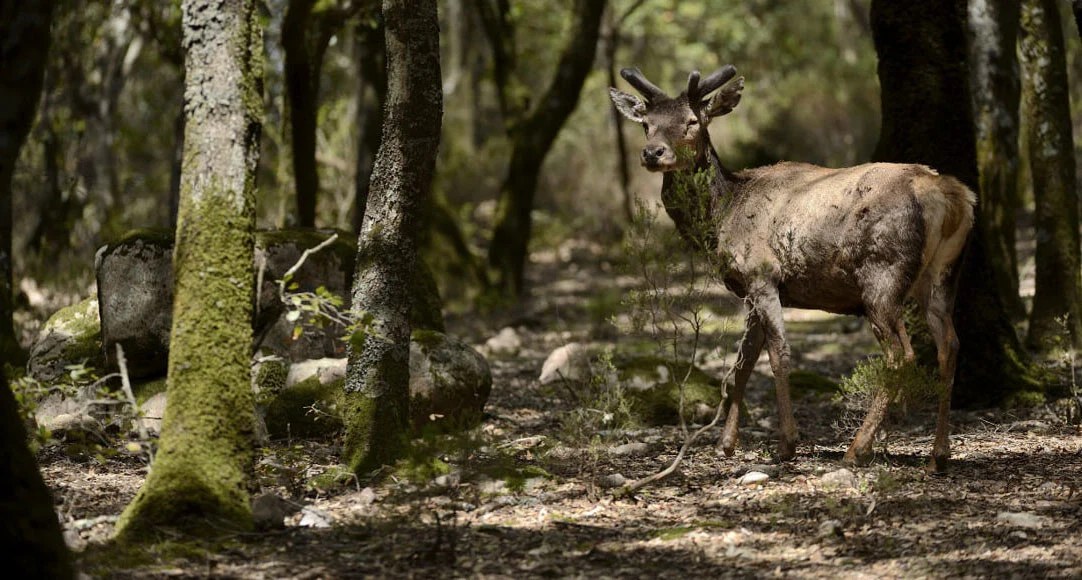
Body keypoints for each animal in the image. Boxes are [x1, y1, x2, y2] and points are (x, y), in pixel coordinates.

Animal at [614, 64, 978, 471]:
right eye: (646, 124)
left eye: (693, 121)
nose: (652, 153)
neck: (724, 212)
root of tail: (954, 197)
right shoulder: (752, 289)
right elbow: (741, 364)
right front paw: (726, 444)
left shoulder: (762, 273)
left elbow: (778, 355)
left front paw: (786, 443)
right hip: (944, 275)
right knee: (949, 345)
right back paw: (938, 454)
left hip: (882, 274)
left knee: (902, 355)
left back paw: (857, 449)